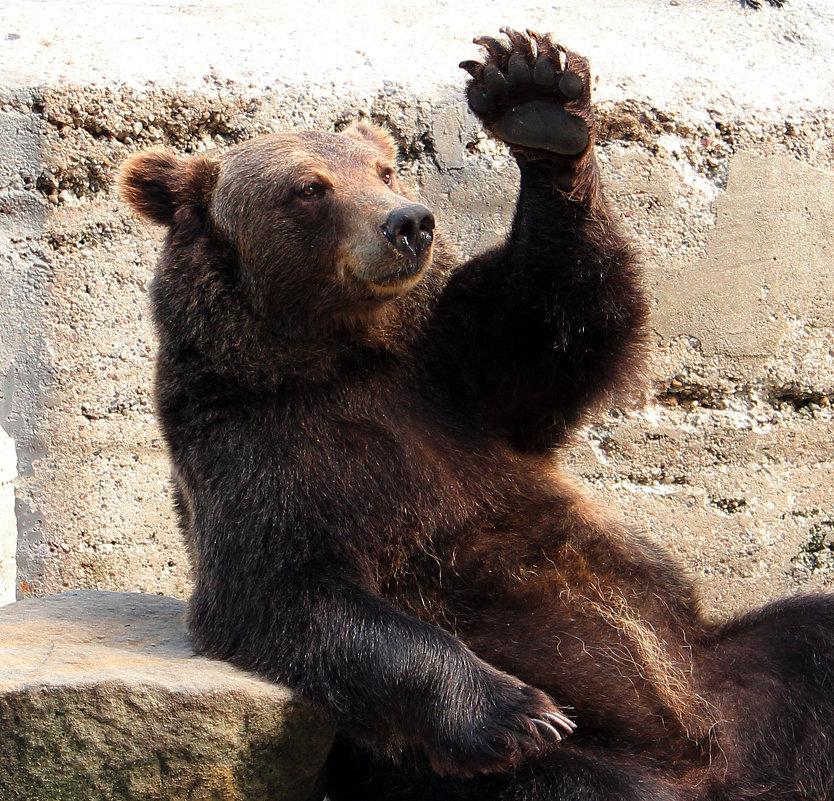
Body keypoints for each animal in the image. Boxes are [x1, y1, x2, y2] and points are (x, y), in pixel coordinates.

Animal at [117, 29, 832, 800]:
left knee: (809, 632)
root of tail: (721, 760)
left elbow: (557, 318)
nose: (409, 222)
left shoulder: (458, 375)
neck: (340, 354)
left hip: (724, 663)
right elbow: (289, 594)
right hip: (564, 767)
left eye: (385, 170)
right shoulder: (251, 449)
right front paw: (515, 710)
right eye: (309, 187)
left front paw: (534, 96)